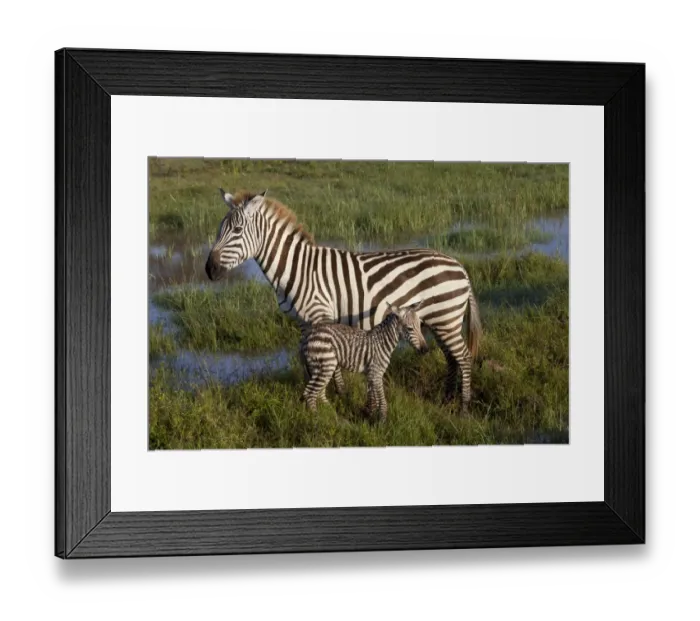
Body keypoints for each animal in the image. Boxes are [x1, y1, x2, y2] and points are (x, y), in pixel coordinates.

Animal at [300, 301, 428, 420]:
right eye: (410, 328)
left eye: (420, 325)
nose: (425, 350)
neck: (383, 343)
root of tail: (310, 334)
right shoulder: (376, 374)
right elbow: (382, 401)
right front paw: (382, 421)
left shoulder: (371, 374)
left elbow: (372, 398)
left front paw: (369, 416)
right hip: (326, 365)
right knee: (310, 393)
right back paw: (317, 418)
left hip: (321, 367)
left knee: (319, 393)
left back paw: (333, 415)